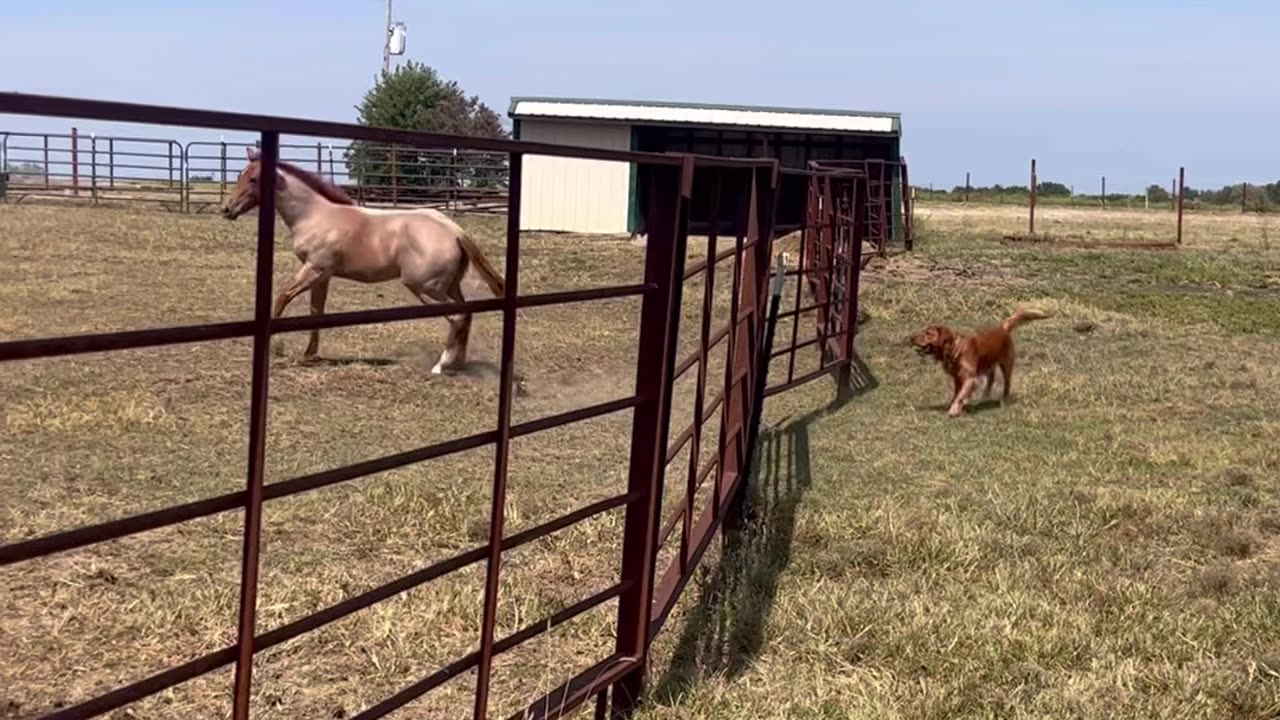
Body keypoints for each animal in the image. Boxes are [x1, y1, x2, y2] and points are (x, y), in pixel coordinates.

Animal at [220, 144, 504, 368]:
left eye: (254, 179)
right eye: (240, 174)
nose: (226, 209)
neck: (314, 215)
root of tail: (455, 231)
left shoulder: (314, 269)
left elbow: (282, 298)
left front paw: (275, 347)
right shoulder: (323, 275)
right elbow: (316, 310)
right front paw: (309, 354)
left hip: (425, 287)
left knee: (457, 317)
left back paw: (441, 365)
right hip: (449, 286)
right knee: (466, 315)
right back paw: (458, 363)